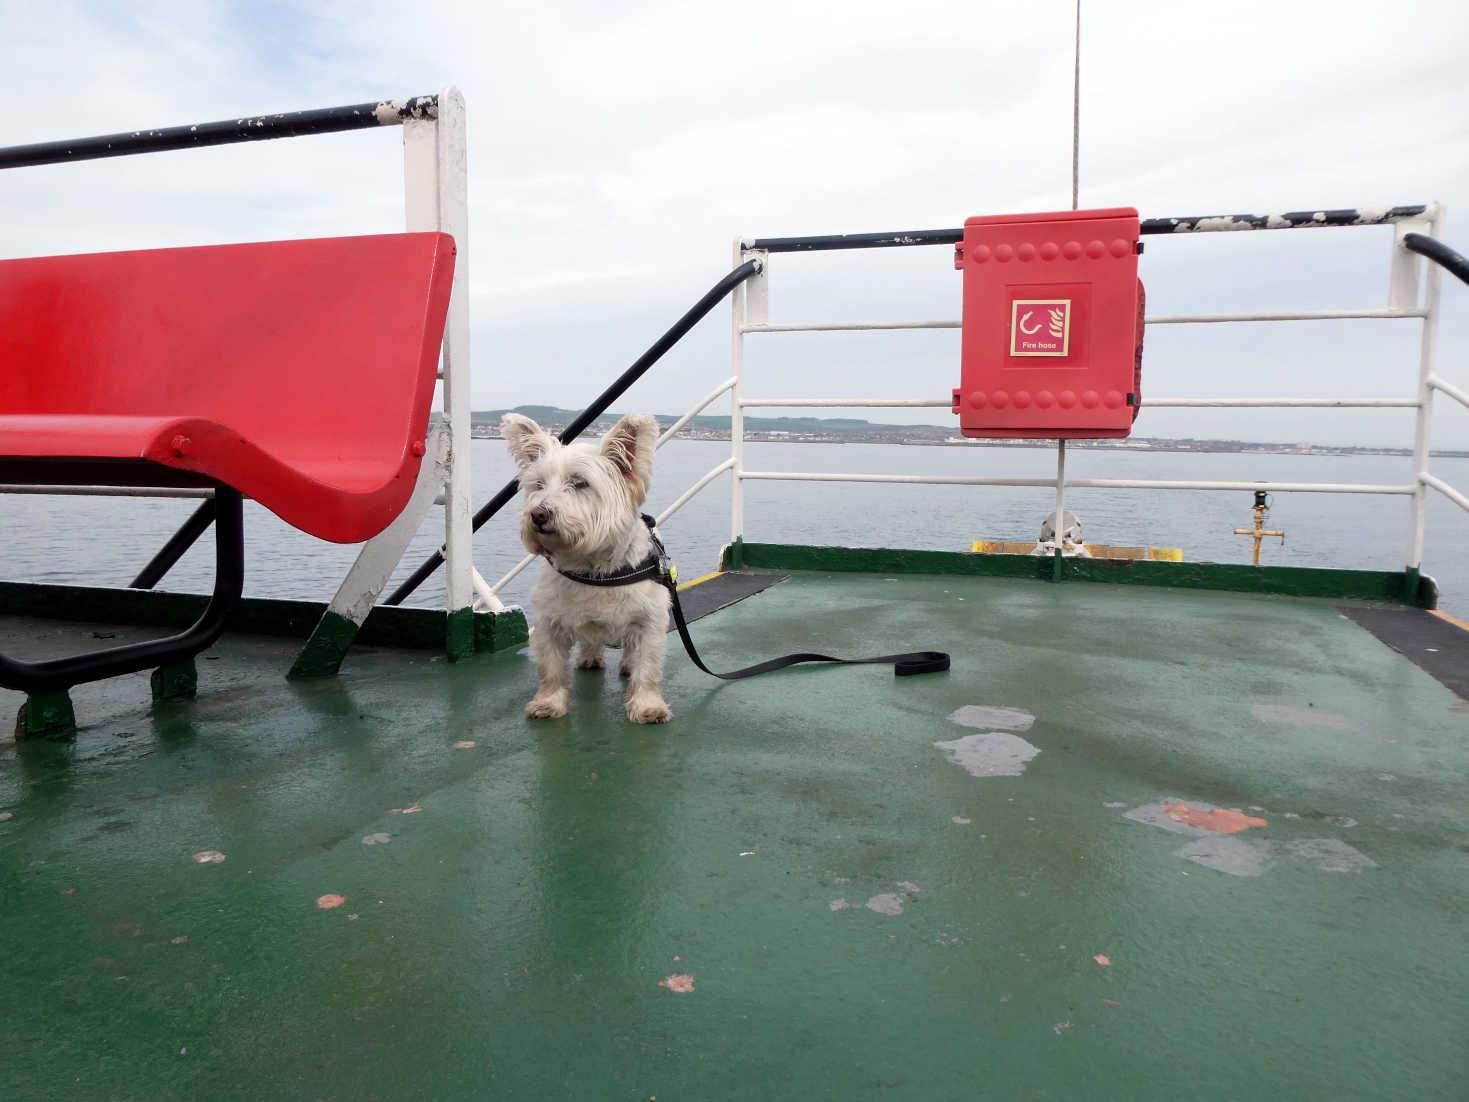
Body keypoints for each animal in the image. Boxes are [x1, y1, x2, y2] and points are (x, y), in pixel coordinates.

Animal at [499, 411, 672, 725]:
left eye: (580, 483)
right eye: (539, 484)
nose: (538, 514)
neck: (592, 568)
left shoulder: (649, 622)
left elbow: (647, 668)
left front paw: (648, 707)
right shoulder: (549, 621)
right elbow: (550, 668)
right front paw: (548, 703)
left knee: (630, 652)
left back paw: (626, 665)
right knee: (591, 639)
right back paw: (589, 657)